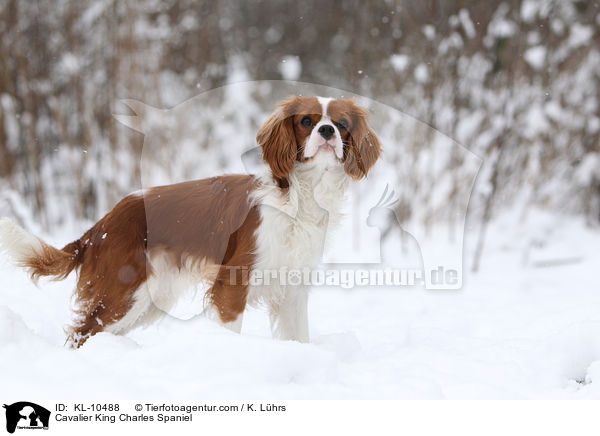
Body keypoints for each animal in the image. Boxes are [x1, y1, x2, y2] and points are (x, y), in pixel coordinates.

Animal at [0, 96, 382, 348]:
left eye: (342, 124)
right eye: (307, 121)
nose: (328, 131)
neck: (297, 195)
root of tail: (98, 227)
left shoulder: (293, 290)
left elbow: (299, 337)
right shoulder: (233, 285)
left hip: (149, 300)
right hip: (124, 292)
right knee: (82, 333)